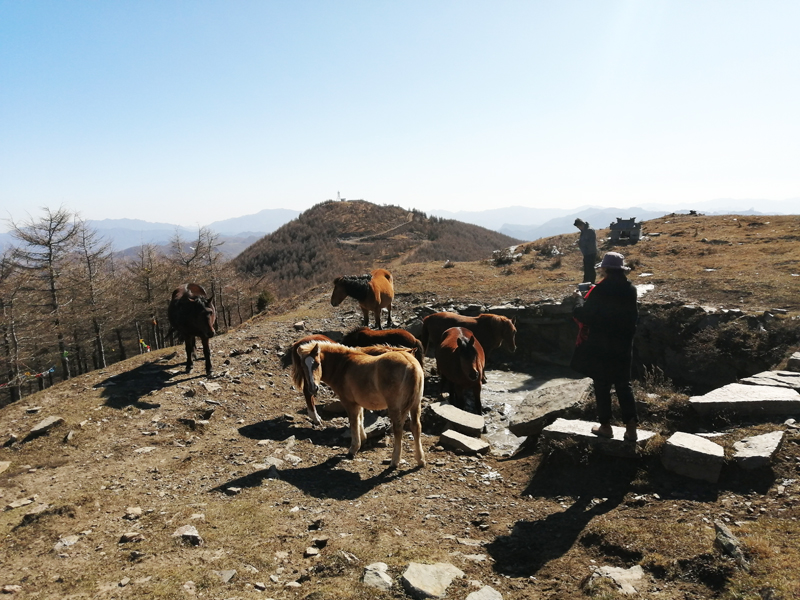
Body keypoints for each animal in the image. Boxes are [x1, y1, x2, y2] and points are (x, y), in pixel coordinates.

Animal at [296, 342, 428, 468]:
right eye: (303, 366)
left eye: (317, 364)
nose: (313, 388)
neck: (344, 366)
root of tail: (411, 365)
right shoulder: (358, 403)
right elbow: (360, 419)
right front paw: (363, 439)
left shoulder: (349, 402)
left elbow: (354, 422)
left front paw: (353, 449)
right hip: (415, 404)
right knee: (416, 427)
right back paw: (420, 460)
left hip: (394, 406)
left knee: (398, 429)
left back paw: (394, 461)